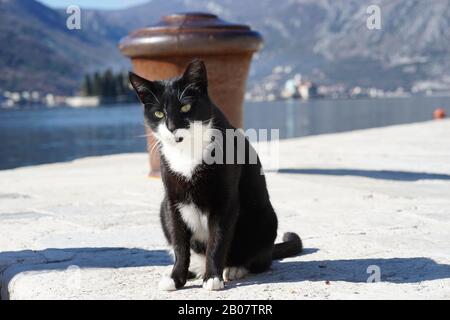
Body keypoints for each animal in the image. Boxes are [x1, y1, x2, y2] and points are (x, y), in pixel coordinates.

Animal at [128, 58, 302, 292]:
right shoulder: (173, 201)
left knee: (260, 260)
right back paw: (193, 270)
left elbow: (217, 240)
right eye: (159, 114)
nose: (172, 127)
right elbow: (179, 244)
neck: (188, 151)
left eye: (185, 107)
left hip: (265, 217)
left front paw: (212, 278)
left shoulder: (224, 201)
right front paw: (176, 277)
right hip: (162, 209)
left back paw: (234, 268)